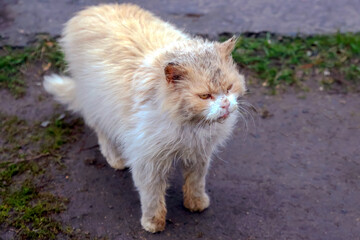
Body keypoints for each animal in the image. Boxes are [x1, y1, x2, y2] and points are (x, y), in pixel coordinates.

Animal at [41, 3, 245, 232]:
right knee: (102, 133)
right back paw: (116, 159)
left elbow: (195, 183)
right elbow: (152, 197)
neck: (188, 124)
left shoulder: (199, 154)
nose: (225, 104)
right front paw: (153, 223)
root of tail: (94, 8)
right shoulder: (148, 162)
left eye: (229, 88)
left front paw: (196, 203)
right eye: (205, 96)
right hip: (99, 107)